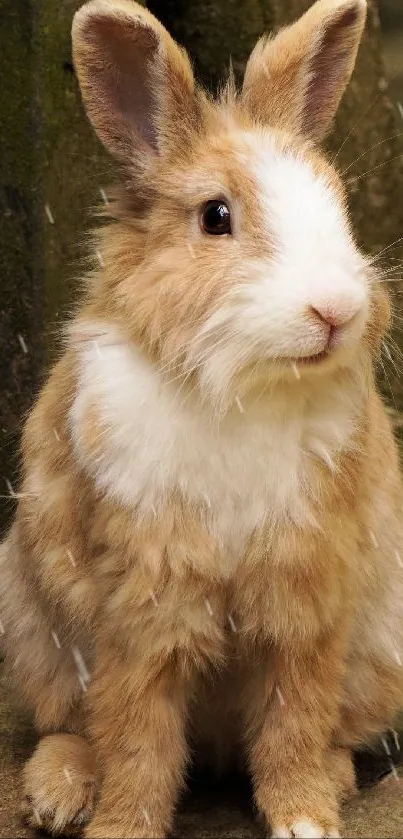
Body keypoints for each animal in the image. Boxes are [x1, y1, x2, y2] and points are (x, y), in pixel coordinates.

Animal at [0, 0, 403, 836]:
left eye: (338, 204)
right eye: (215, 216)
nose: (335, 311)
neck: (245, 386)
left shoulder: (304, 593)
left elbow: (292, 717)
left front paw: (304, 818)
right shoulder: (141, 599)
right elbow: (136, 733)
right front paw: (120, 826)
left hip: (381, 649)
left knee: (334, 730)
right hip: (31, 625)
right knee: (69, 724)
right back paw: (57, 793)